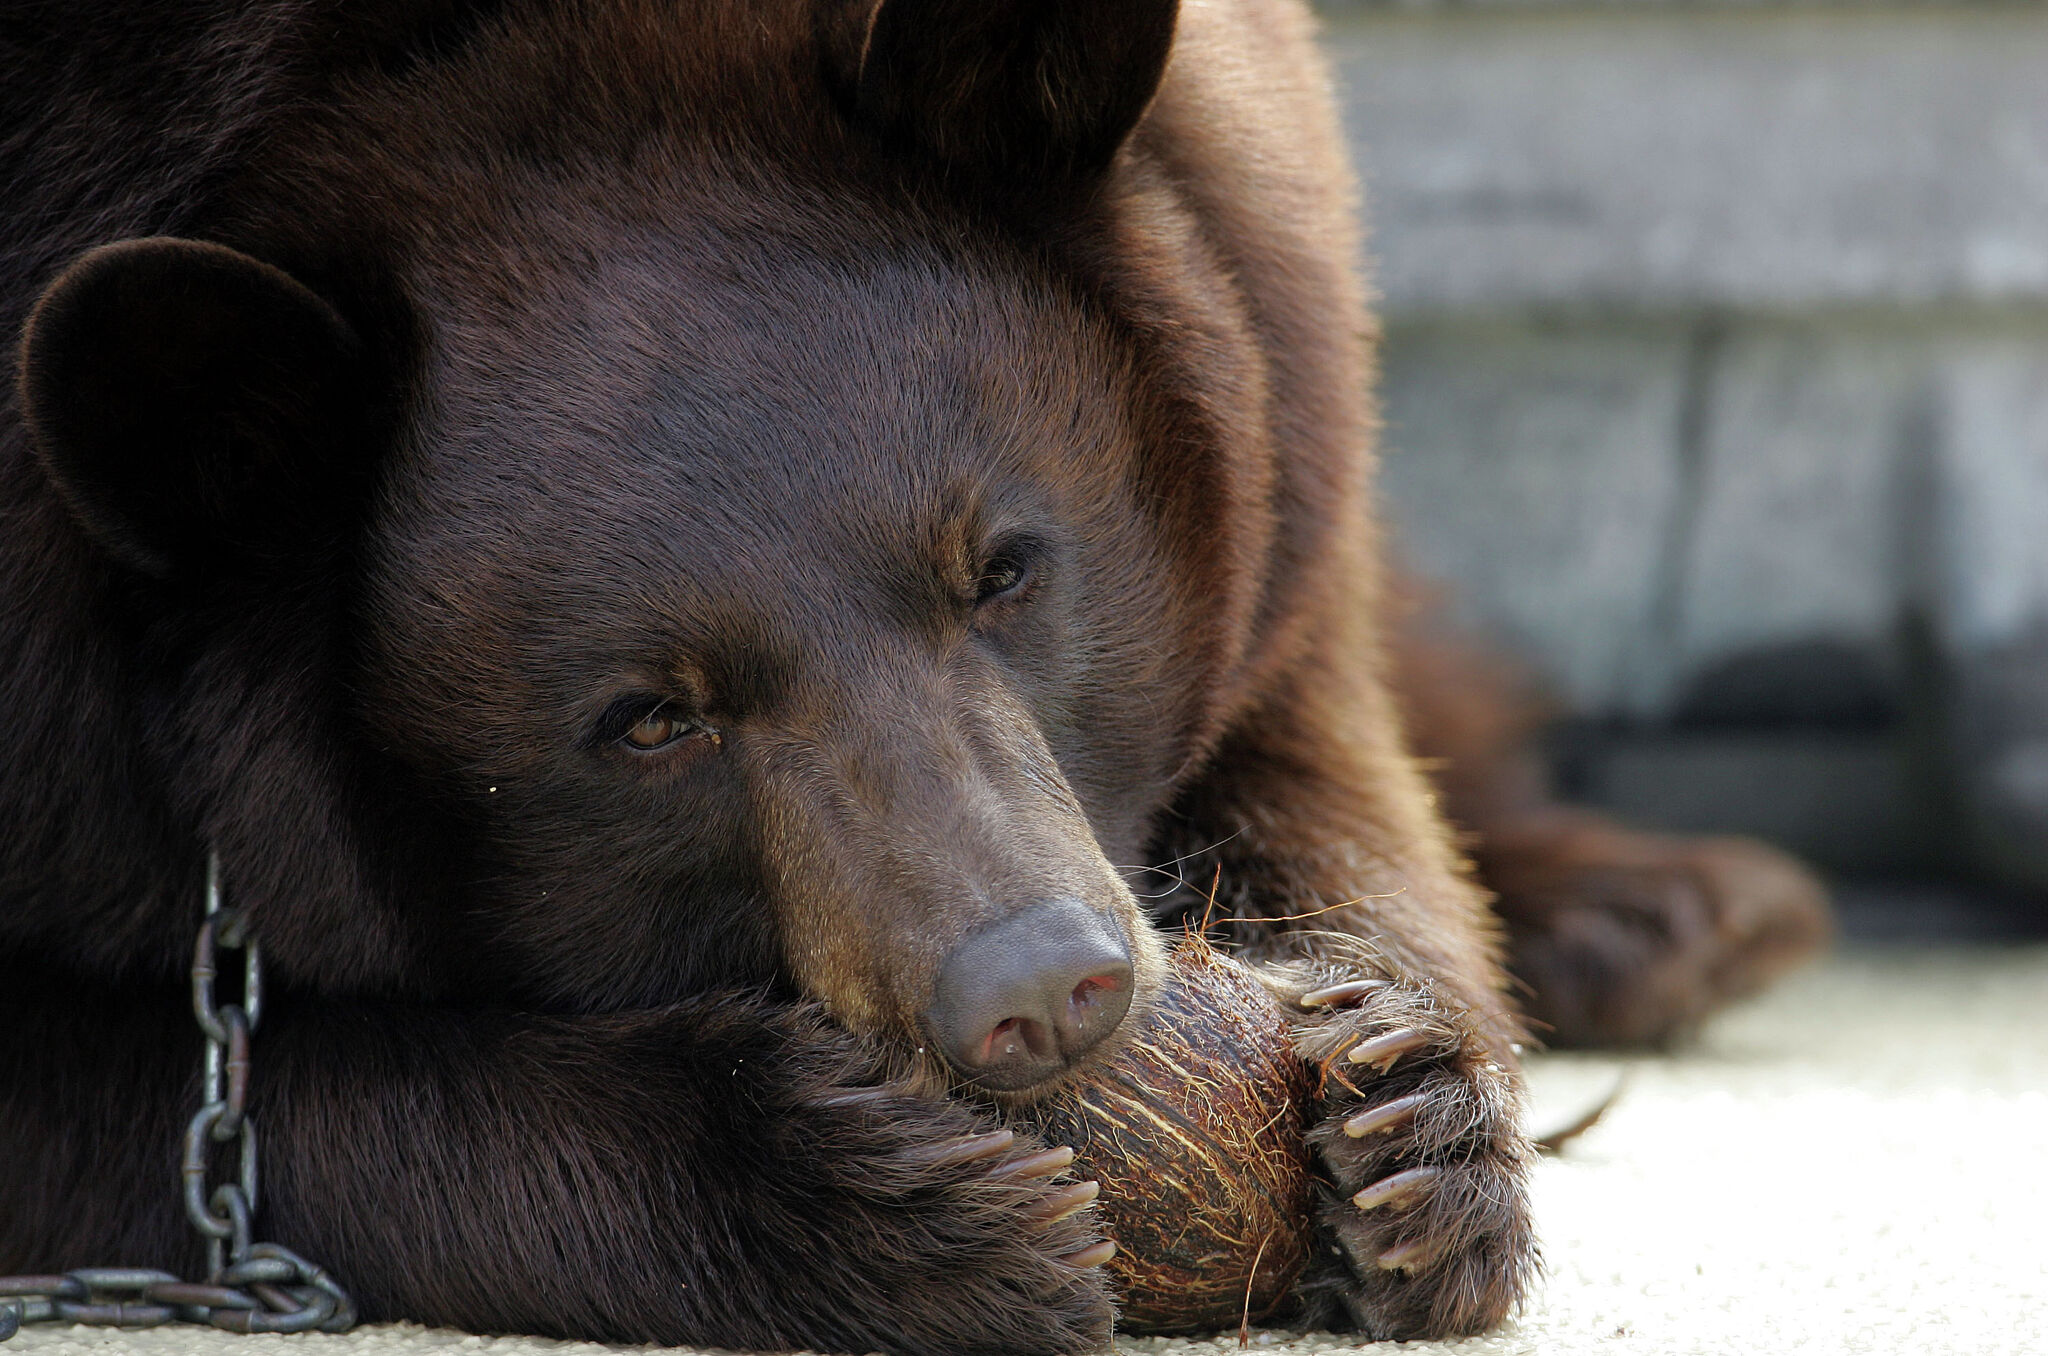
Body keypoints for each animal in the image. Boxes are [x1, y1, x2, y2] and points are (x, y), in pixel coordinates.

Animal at [0, 0, 1826, 1351]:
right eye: (651, 718)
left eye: (1003, 567)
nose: (1040, 984)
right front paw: (868, 1200)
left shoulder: (1277, 349)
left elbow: (1319, 749)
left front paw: (1414, 1126)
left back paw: (1674, 912)